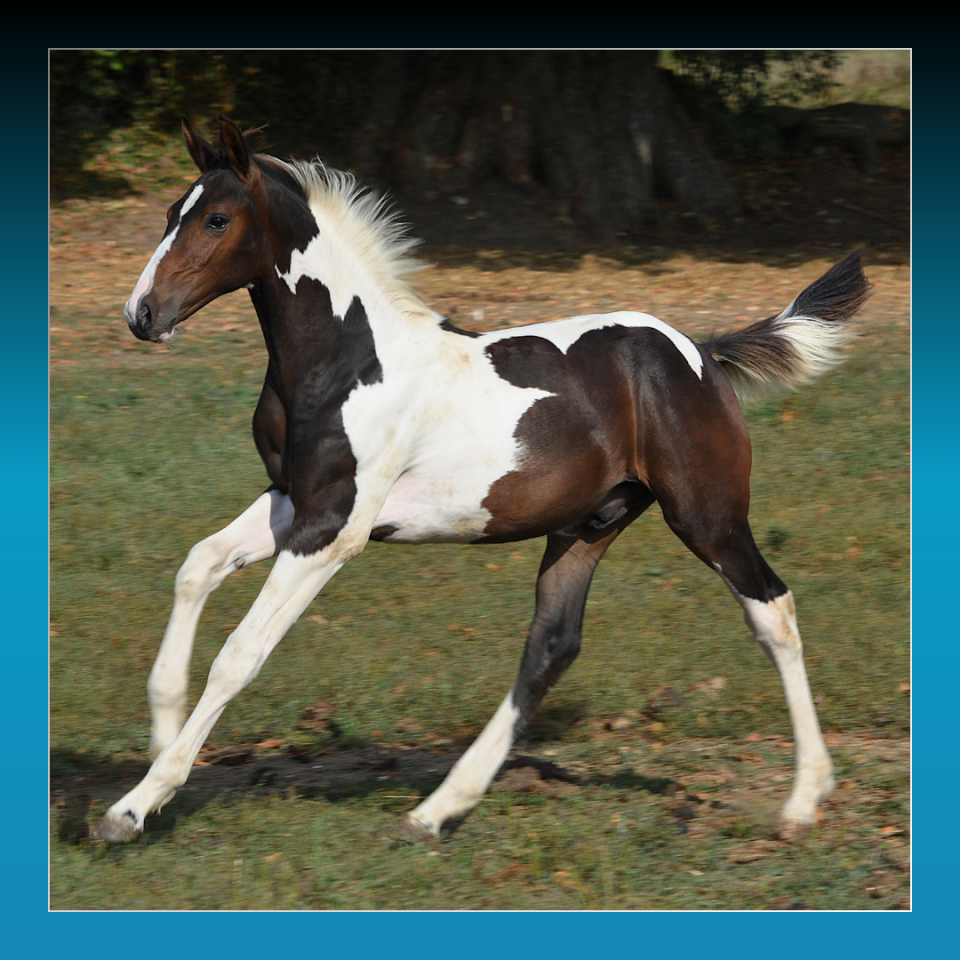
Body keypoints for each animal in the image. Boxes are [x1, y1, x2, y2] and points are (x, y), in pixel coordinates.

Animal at [94, 115, 870, 844]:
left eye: (217, 220)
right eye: (171, 213)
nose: (142, 314)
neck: (348, 359)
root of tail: (702, 355)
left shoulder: (333, 529)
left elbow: (240, 654)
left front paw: (134, 805)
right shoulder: (293, 500)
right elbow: (197, 566)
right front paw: (161, 747)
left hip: (707, 514)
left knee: (772, 609)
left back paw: (804, 799)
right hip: (588, 525)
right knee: (552, 646)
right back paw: (438, 809)